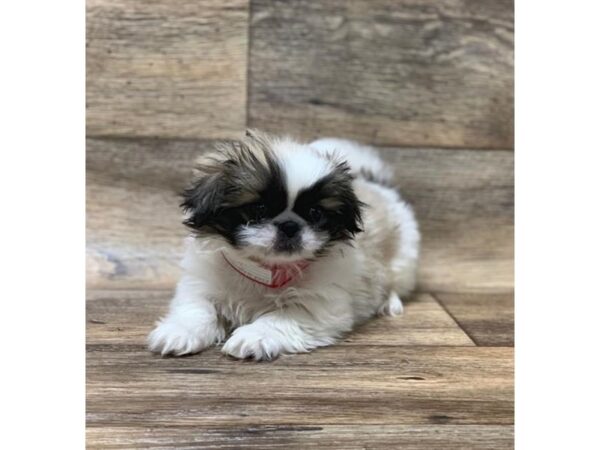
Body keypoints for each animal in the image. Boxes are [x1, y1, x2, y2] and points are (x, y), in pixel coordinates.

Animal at [148, 130, 420, 358]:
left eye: (315, 213)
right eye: (258, 209)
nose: (290, 226)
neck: (265, 270)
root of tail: (377, 184)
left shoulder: (317, 306)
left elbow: (279, 318)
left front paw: (253, 337)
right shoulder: (200, 287)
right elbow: (196, 311)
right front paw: (178, 332)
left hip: (403, 261)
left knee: (394, 284)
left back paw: (389, 303)